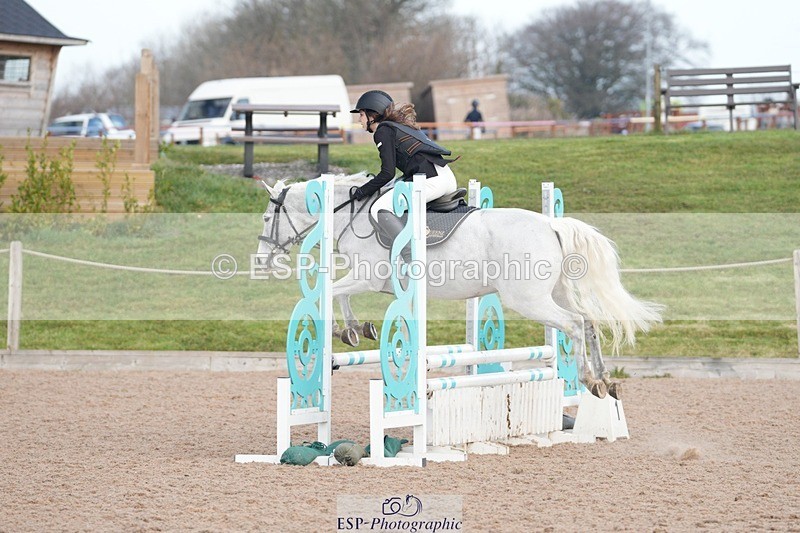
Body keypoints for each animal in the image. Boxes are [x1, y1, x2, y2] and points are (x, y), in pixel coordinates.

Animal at [256, 173, 662, 399]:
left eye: (266, 216)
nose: (261, 261)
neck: (349, 215)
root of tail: (552, 224)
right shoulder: (376, 282)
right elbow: (342, 297)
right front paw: (357, 330)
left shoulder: (368, 275)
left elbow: (336, 294)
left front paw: (349, 330)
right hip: (554, 293)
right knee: (589, 321)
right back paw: (606, 380)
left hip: (527, 300)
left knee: (575, 324)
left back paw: (588, 379)